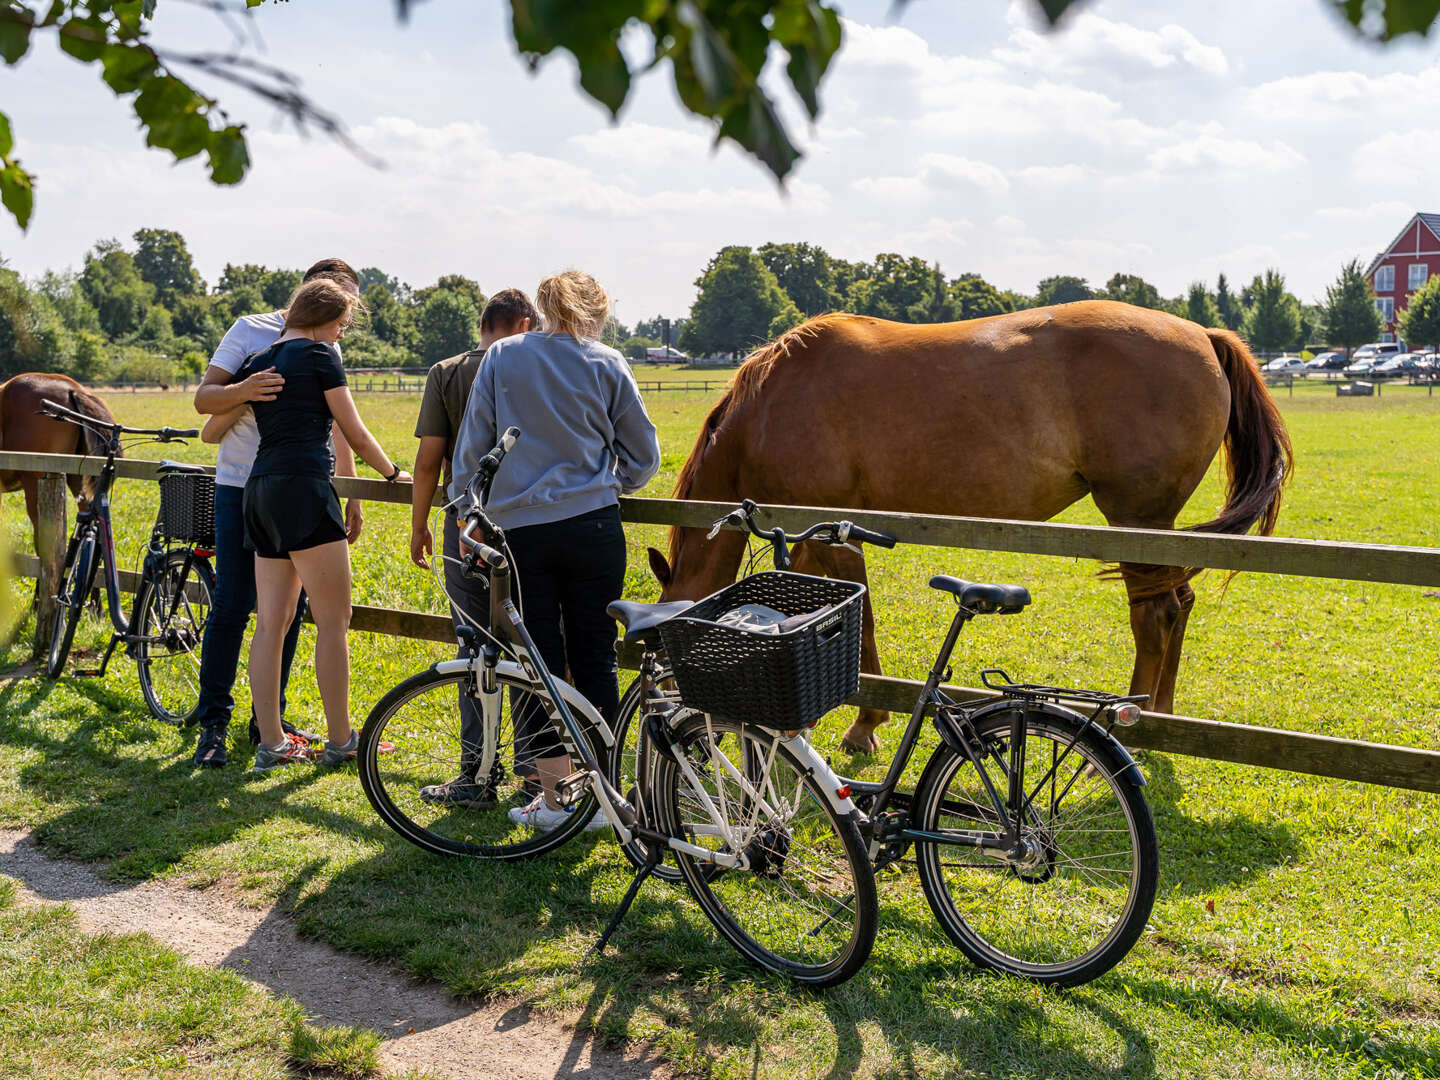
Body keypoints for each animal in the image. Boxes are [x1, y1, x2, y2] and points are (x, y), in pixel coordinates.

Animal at [648, 298, 1290, 754]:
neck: (770, 407)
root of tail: (1203, 335)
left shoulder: (835, 532)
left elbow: (862, 622)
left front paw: (866, 725)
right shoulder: (808, 541)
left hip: (1138, 519)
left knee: (1155, 617)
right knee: (1178, 604)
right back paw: (1164, 717)